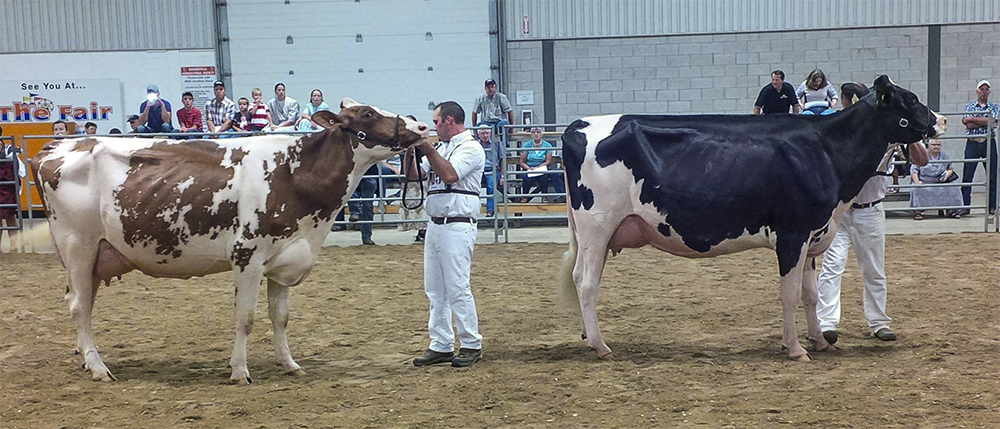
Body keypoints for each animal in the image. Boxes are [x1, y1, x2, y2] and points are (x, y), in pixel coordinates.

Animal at [30, 98, 430, 382]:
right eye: (367, 113)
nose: (421, 125)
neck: (294, 175)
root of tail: (56, 148)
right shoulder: (247, 256)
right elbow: (246, 318)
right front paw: (239, 371)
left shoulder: (285, 257)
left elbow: (280, 317)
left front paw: (289, 363)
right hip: (78, 246)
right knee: (79, 307)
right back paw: (98, 368)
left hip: (97, 254)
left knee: (83, 305)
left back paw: (87, 360)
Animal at [560, 75, 948, 360]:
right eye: (910, 98)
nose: (942, 119)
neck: (825, 150)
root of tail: (578, 124)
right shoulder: (792, 234)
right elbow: (789, 294)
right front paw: (795, 349)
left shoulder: (813, 236)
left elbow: (810, 294)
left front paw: (820, 340)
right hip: (598, 226)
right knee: (587, 283)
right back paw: (601, 346)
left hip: (594, 234)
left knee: (580, 277)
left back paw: (588, 336)